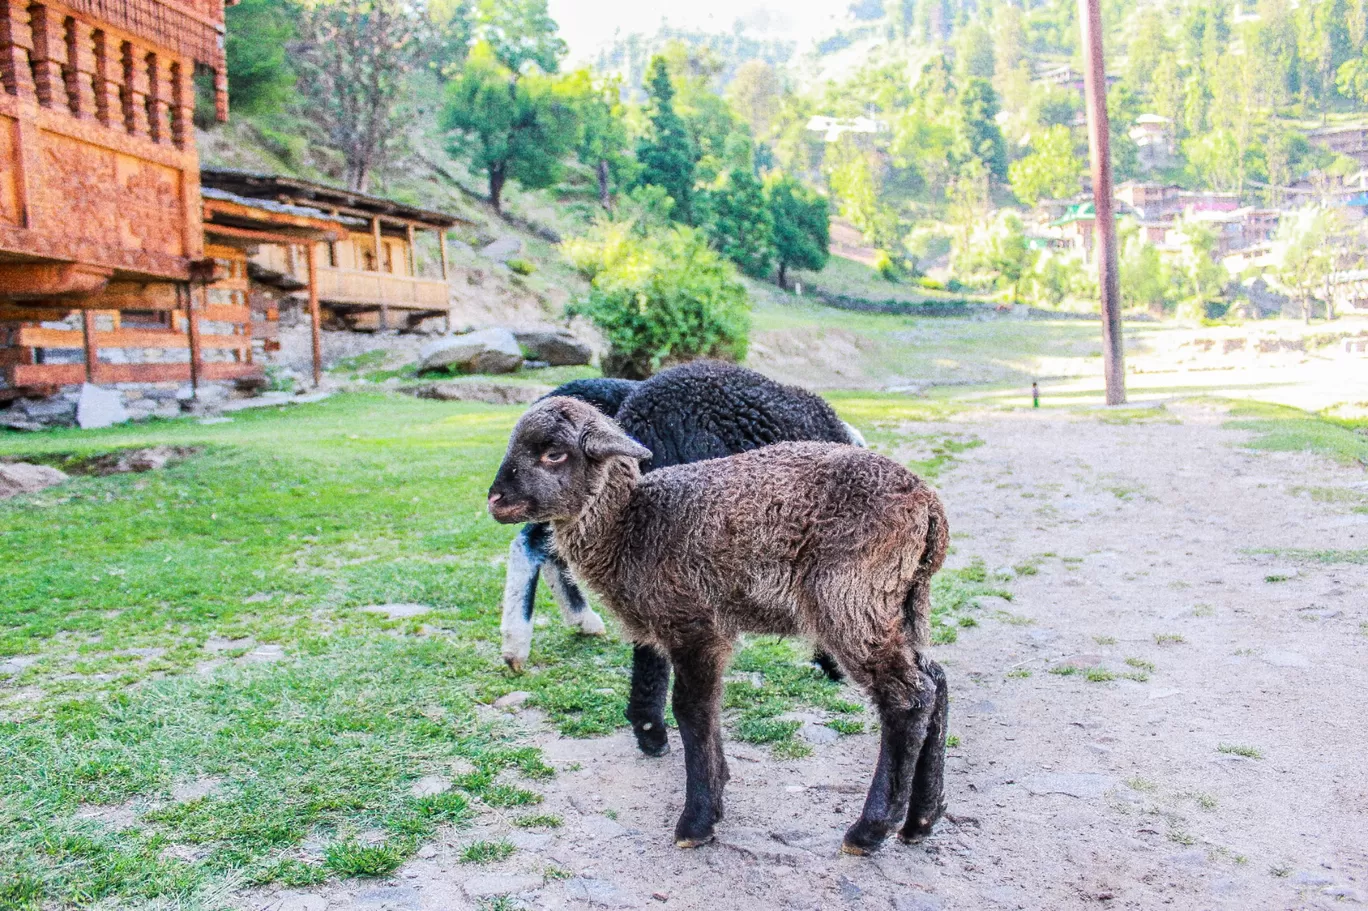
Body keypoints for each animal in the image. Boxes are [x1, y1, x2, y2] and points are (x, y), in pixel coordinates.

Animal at [489, 396, 952, 853]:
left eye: (553, 453)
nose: (495, 500)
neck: (629, 524)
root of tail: (929, 505)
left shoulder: (695, 624)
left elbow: (692, 709)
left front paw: (696, 821)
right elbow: (705, 710)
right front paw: (715, 794)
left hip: (852, 598)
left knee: (908, 699)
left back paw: (870, 829)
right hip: (898, 600)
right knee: (935, 680)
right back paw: (920, 820)